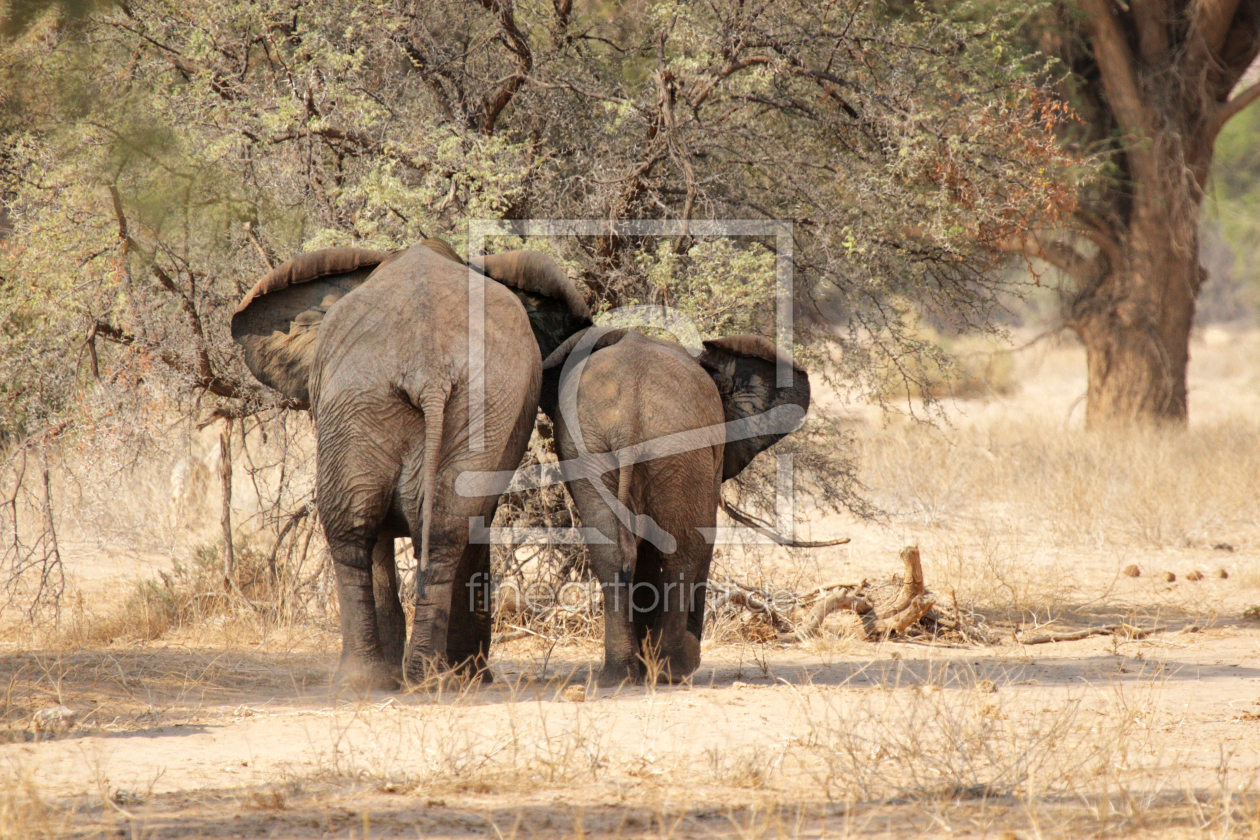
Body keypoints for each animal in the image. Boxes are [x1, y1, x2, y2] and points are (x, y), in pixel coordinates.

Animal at [231, 239, 589, 685]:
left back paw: (399, 678)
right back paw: (400, 678)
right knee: (396, 529)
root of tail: (427, 367)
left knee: (385, 532)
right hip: (376, 401)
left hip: (398, 403)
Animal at [531, 327, 806, 685]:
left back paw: (620, 675)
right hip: (678, 449)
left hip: (594, 451)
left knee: (610, 552)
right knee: (685, 550)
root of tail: (628, 416)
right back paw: (674, 669)